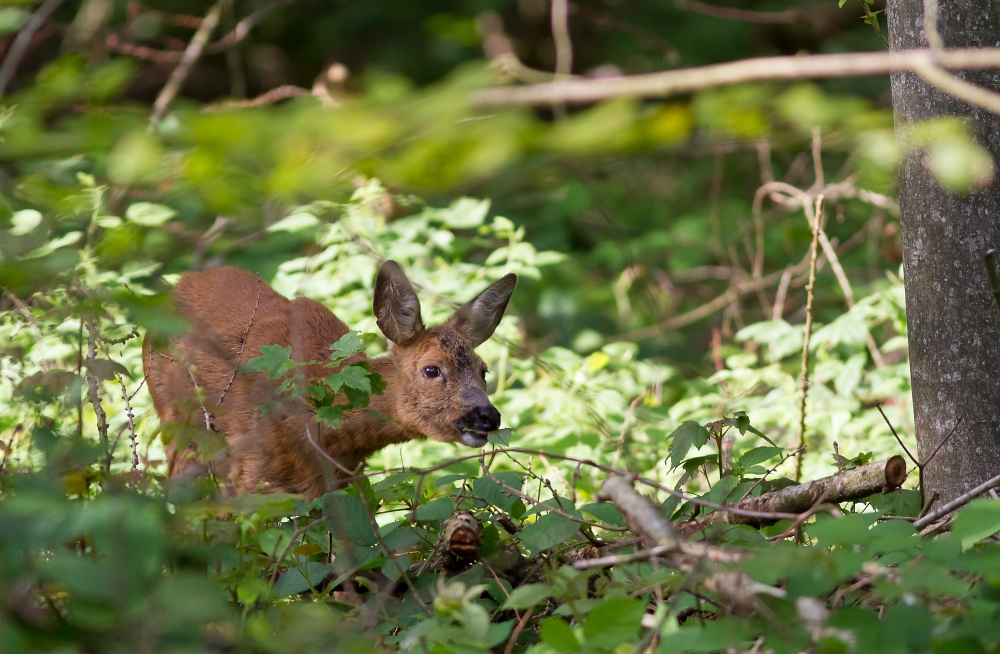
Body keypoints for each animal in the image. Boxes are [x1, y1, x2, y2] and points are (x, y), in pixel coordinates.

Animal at [143, 258, 516, 500]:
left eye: (483, 370)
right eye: (432, 369)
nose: (488, 416)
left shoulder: (339, 481)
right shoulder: (254, 471)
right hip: (176, 422)